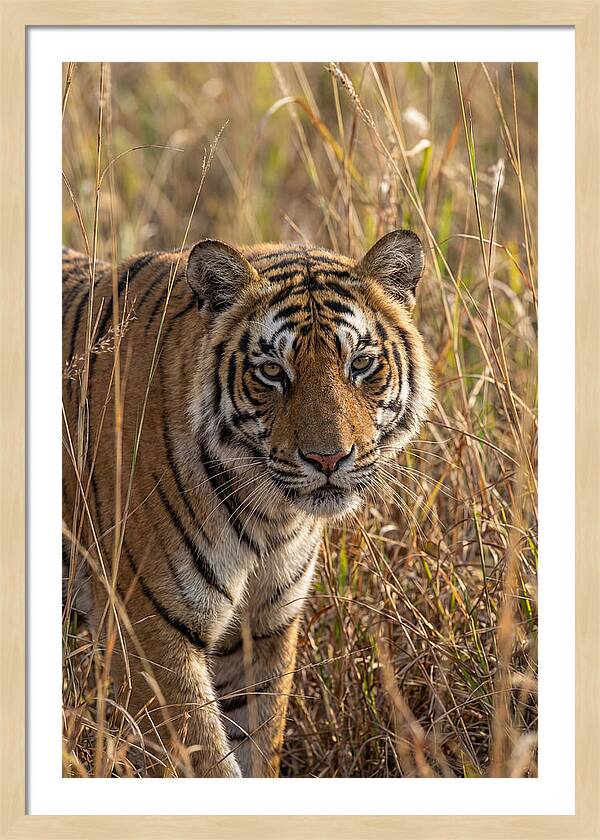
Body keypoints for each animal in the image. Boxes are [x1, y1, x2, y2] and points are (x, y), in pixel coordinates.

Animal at [62, 229, 433, 778]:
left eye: (361, 364)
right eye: (272, 371)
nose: (328, 458)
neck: (270, 518)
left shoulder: (264, 626)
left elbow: (257, 743)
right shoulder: (149, 633)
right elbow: (205, 762)